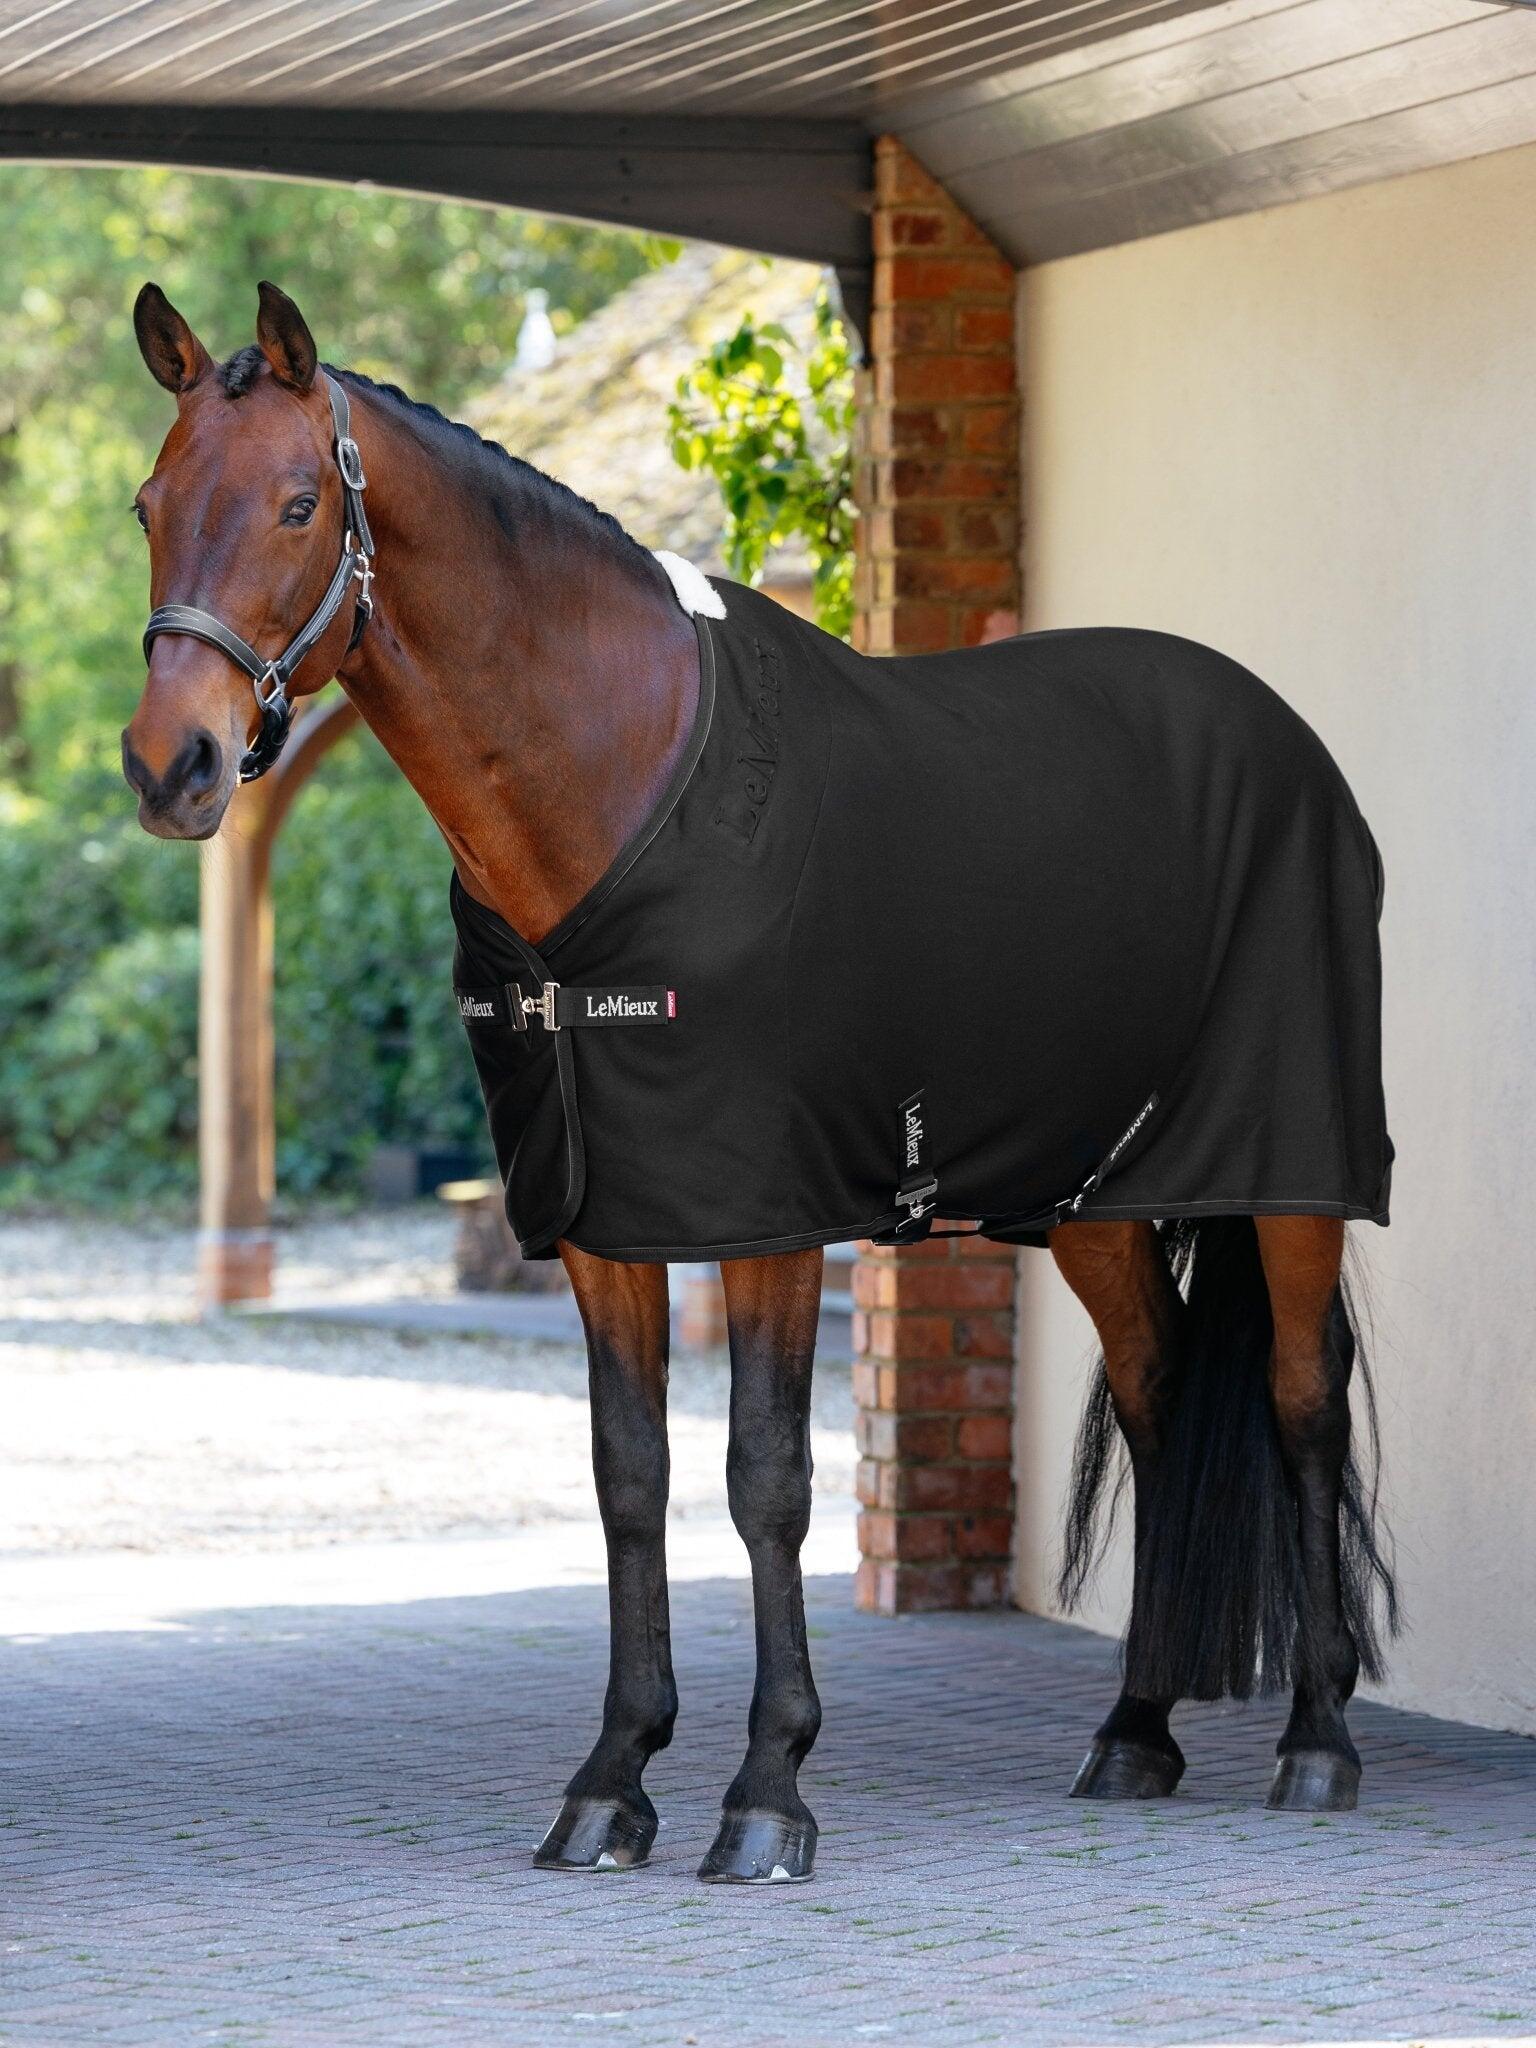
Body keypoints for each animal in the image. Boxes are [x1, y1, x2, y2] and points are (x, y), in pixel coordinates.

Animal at [121, 281, 1396, 1884]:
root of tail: (1287, 740)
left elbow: (768, 1479)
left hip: (1292, 1179)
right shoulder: (600, 1224)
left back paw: (1319, 1742)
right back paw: (1134, 1729)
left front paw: (767, 1791)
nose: (169, 765)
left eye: (299, 504)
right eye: (149, 501)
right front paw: (611, 1780)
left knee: (1299, 1399)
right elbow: (630, 1477)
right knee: (1162, 1394)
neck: (615, 791)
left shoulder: (771, 1217)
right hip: (1095, 1197)